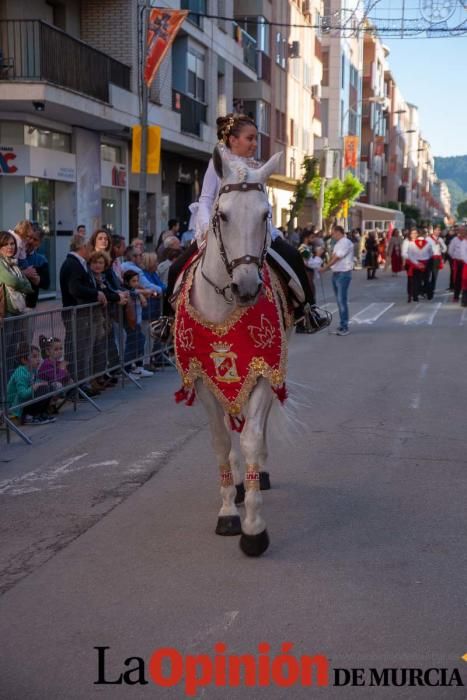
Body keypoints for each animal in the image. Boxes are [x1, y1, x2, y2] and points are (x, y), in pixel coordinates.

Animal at [175, 148, 288, 556]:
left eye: (266, 214)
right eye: (222, 215)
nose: (246, 288)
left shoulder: (262, 373)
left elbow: (252, 438)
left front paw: (254, 528)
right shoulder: (203, 378)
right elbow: (221, 441)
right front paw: (228, 512)